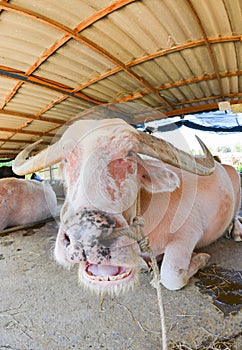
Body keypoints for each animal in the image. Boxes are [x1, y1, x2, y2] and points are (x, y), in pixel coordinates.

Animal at [13, 106, 242, 292]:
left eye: (130, 154)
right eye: (66, 159)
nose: (85, 237)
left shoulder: (188, 234)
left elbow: (170, 276)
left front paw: (201, 258)